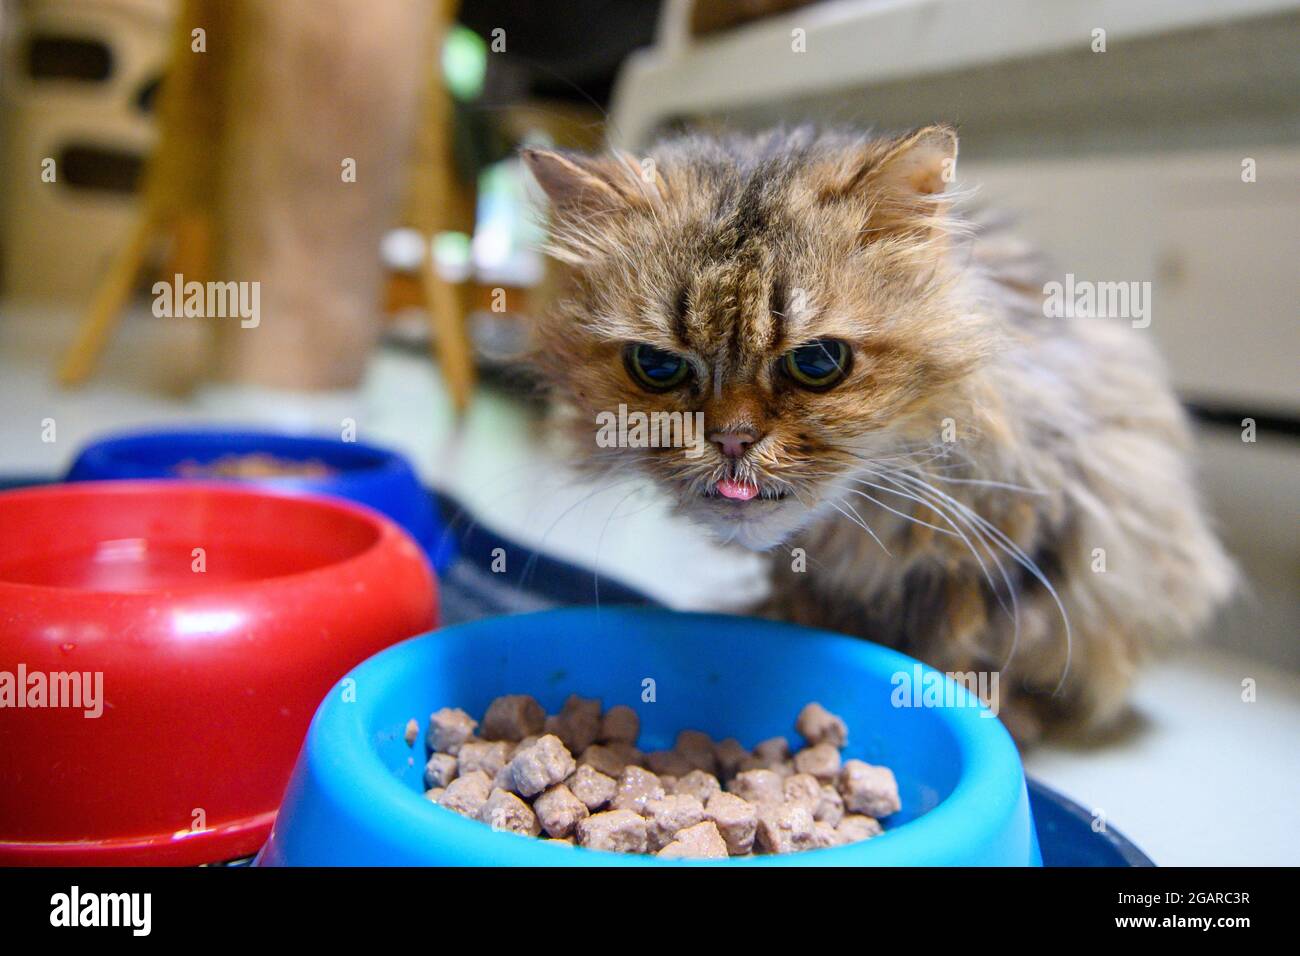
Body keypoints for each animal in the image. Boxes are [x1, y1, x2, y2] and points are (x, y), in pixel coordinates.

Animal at [522, 125, 1232, 738]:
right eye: (657, 366)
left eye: (817, 363)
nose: (731, 441)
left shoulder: (1011, 541)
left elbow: (967, 649)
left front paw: (995, 713)